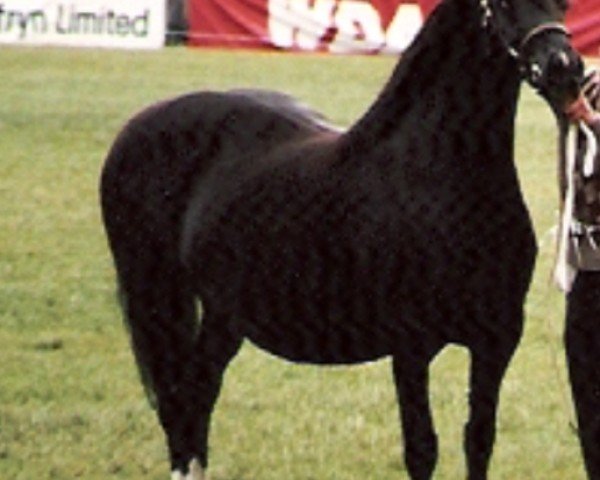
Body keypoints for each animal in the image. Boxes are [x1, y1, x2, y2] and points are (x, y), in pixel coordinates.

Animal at [102, 0, 580, 480]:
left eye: (563, 5)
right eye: (501, 5)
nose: (565, 68)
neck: (440, 178)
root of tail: (138, 125)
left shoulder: (496, 340)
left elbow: (478, 441)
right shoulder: (412, 346)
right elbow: (421, 449)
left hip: (224, 314)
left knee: (199, 394)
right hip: (157, 296)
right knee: (178, 403)